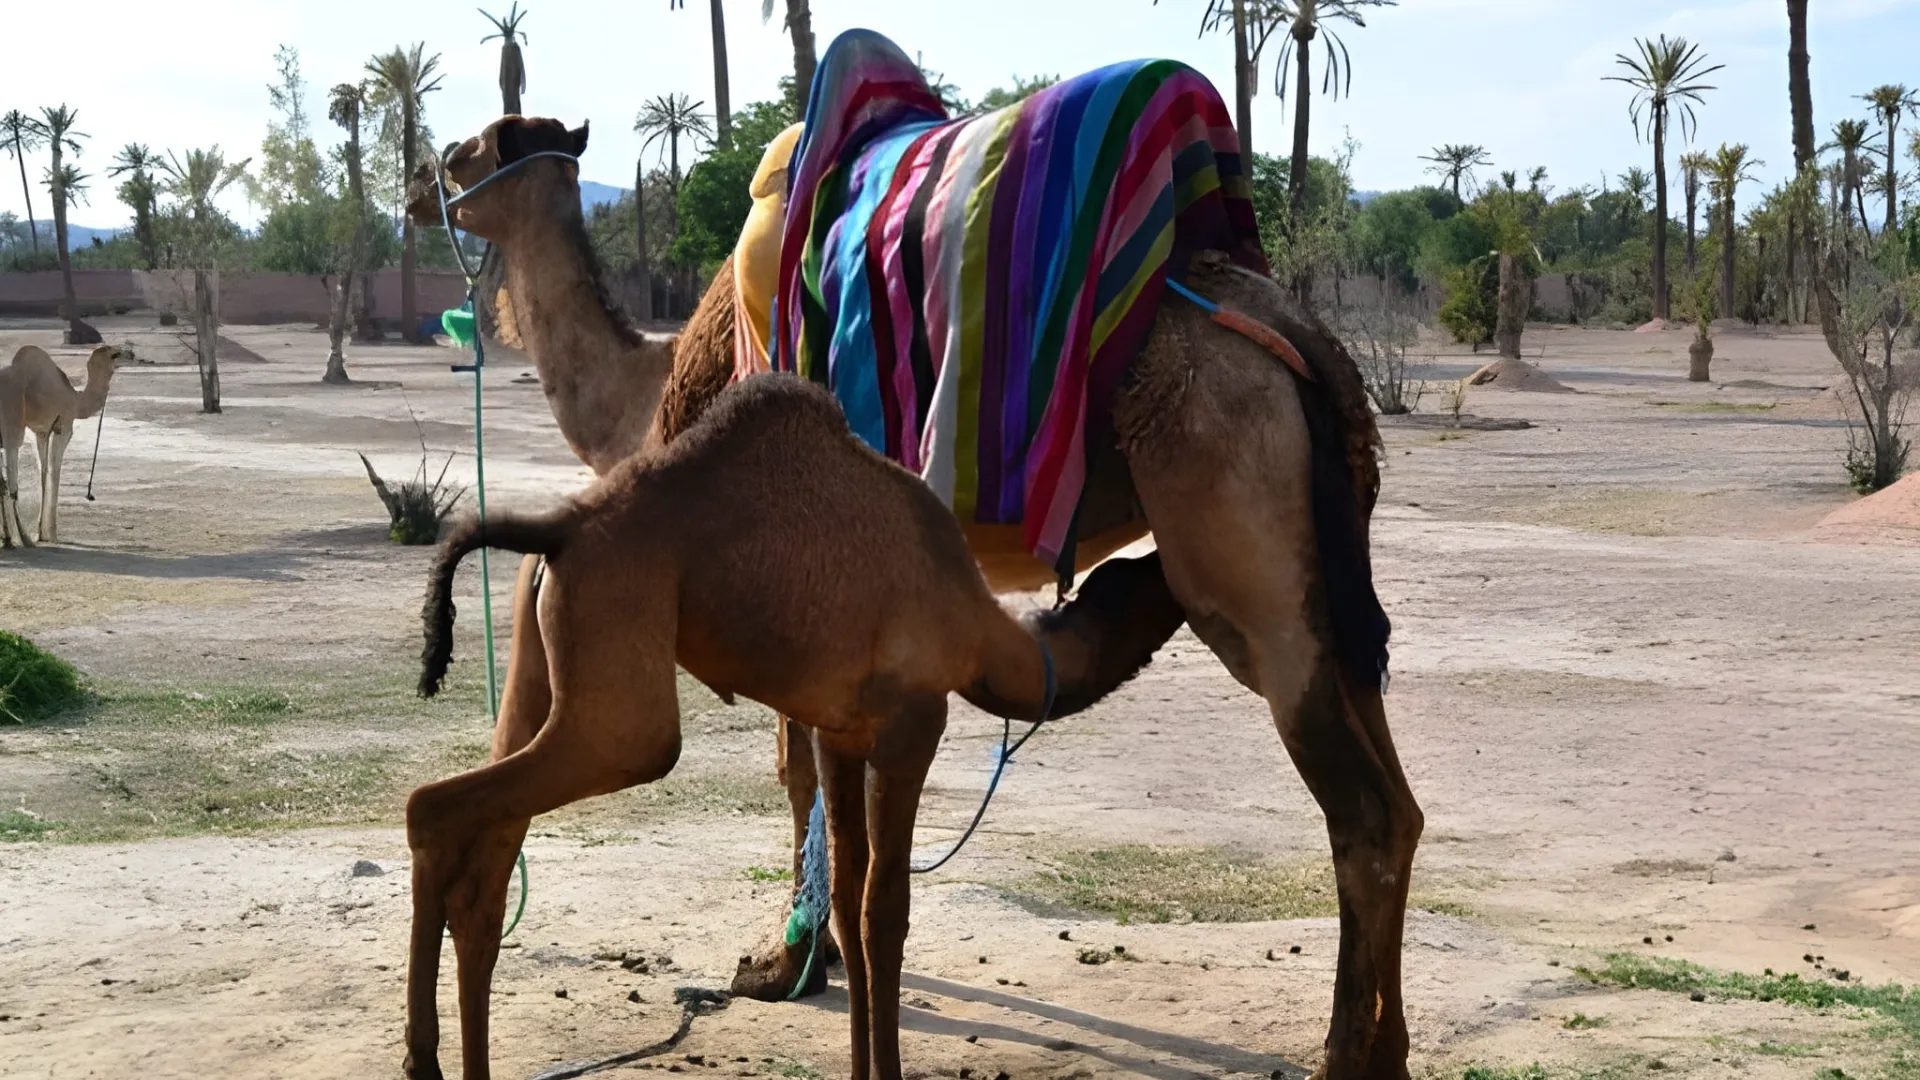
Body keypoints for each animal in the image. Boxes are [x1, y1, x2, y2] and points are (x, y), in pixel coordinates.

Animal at [0, 344, 126, 548]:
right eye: (115, 354)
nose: (126, 353)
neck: (77, 400)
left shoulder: (41, 432)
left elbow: (43, 473)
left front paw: (41, 532)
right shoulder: (63, 427)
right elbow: (54, 472)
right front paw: (51, 534)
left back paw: (9, 539)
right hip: (12, 420)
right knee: (11, 480)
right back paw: (21, 538)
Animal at [407, 373, 1167, 1080]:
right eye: (1155, 577)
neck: (985, 635)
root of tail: (557, 530)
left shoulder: (842, 734)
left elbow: (847, 901)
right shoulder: (915, 721)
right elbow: (885, 910)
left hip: (542, 661)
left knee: (486, 864)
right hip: (623, 693)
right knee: (434, 807)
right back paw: (422, 1058)